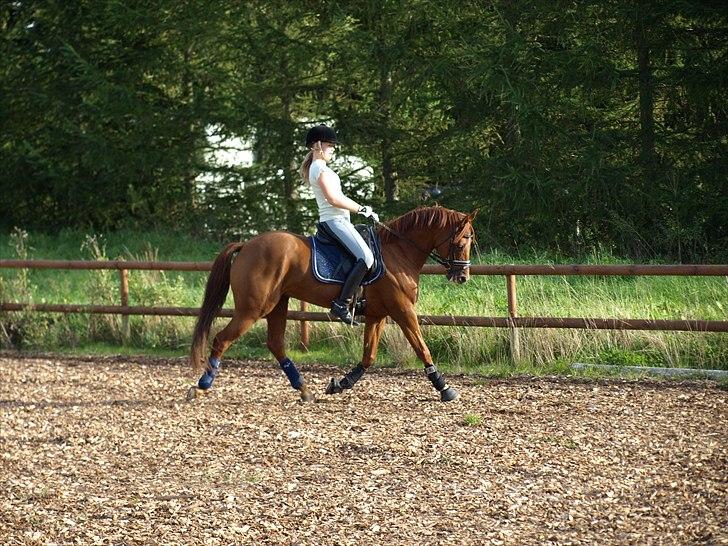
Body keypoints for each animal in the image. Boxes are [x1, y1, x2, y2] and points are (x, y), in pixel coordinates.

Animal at [188, 205, 476, 402]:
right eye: (464, 239)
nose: (463, 276)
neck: (399, 253)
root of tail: (247, 244)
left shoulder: (377, 314)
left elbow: (369, 356)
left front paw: (341, 383)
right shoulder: (402, 310)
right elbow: (422, 348)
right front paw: (444, 387)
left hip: (278, 304)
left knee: (275, 344)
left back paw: (304, 390)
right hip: (253, 308)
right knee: (222, 339)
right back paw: (202, 385)